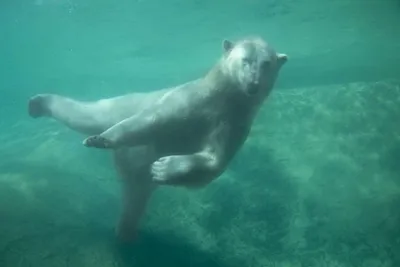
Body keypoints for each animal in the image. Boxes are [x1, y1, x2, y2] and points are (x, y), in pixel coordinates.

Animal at [27, 36, 288, 244]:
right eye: (245, 60)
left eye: (266, 63)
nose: (252, 85)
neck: (220, 97)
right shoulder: (188, 100)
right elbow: (149, 121)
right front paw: (99, 140)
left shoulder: (233, 121)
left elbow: (215, 161)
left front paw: (163, 168)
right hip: (120, 106)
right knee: (86, 114)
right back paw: (38, 104)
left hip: (137, 179)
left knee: (135, 199)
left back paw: (126, 232)